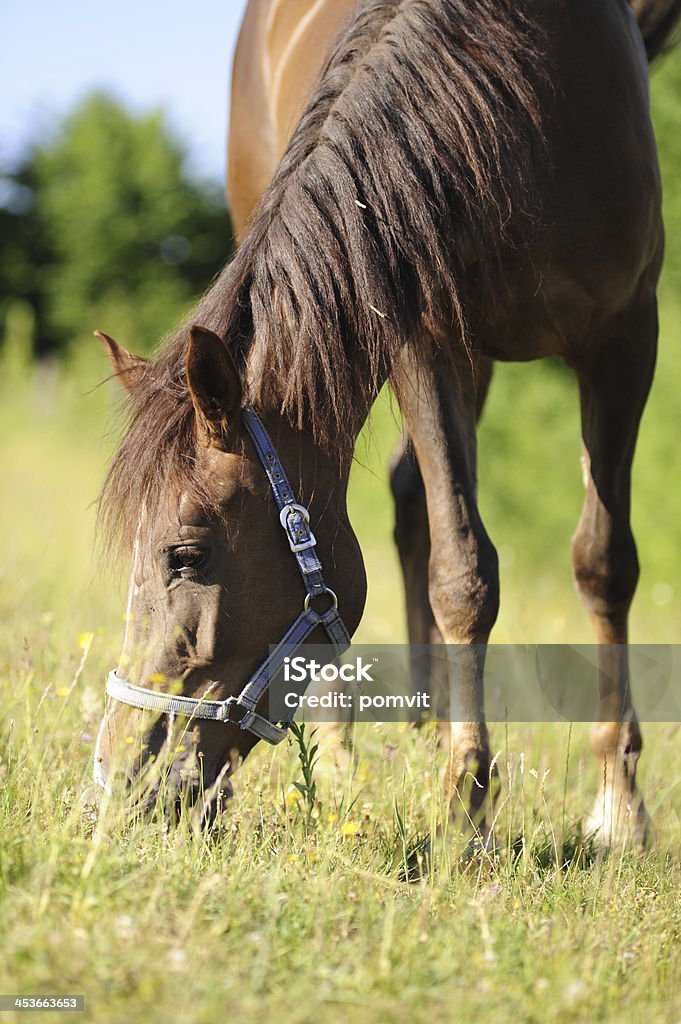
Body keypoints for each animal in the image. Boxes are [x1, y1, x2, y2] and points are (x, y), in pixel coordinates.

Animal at [93, 0, 675, 843]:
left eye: (186, 555)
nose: (114, 780)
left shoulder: (625, 336)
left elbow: (603, 560)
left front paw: (617, 805)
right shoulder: (429, 341)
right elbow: (463, 571)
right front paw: (469, 805)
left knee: (410, 502)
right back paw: (346, 751)